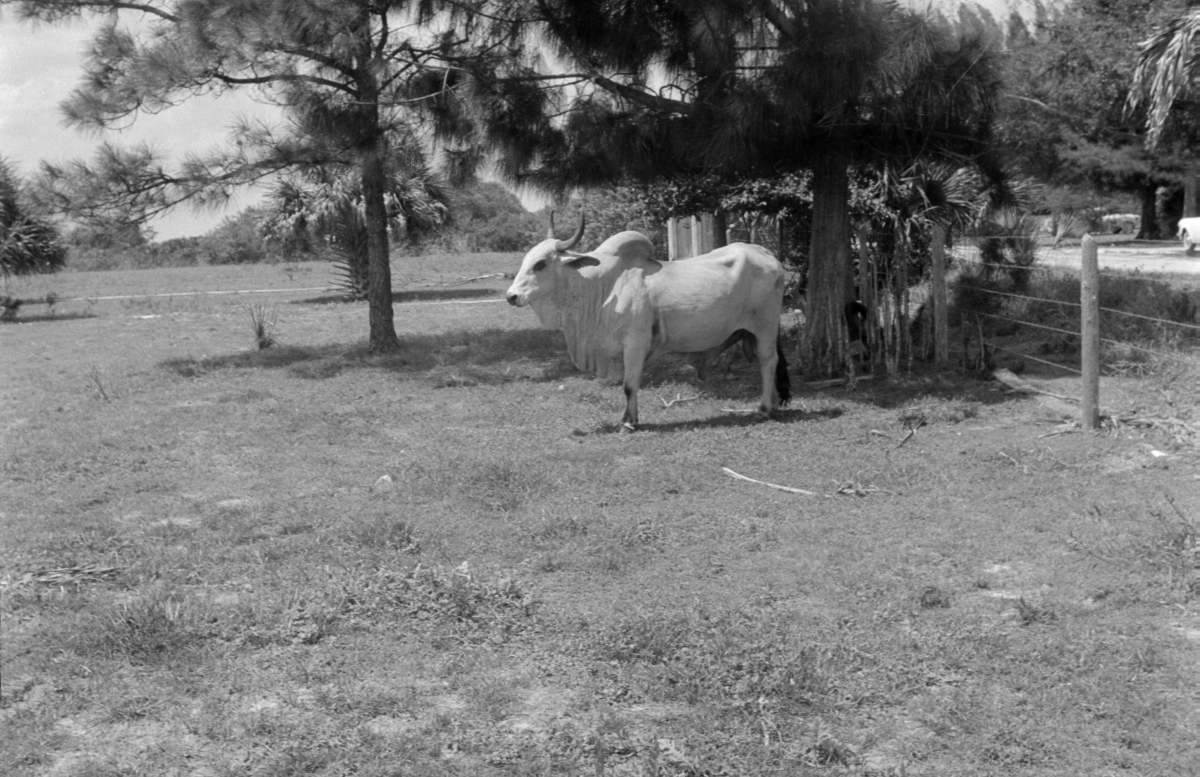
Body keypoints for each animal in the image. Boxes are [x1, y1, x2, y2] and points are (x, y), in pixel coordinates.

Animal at [504, 212, 792, 431]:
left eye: (540, 264)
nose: (511, 296)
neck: (604, 287)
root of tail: (768, 254)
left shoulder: (635, 344)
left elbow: (629, 385)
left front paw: (628, 423)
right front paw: (632, 419)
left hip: (765, 328)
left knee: (768, 362)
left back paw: (764, 409)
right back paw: (774, 404)